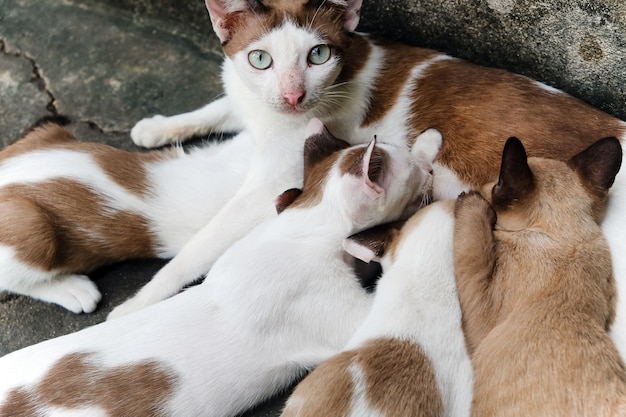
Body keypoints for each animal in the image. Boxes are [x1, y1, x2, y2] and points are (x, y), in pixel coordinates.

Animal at [116, 0, 624, 360]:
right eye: (260, 59)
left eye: (318, 55)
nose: (294, 95)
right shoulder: (256, 105)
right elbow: (221, 105)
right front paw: (159, 127)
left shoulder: (268, 183)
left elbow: (198, 248)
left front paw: (135, 306)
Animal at [454, 137, 624, 416]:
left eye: (492, 184)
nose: (478, 189)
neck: (562, 239)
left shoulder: (482, 309)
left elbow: (475, 243)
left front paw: (470, 200)